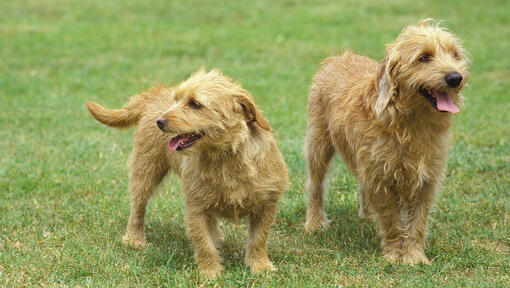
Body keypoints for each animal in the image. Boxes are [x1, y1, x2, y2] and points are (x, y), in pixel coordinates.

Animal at [85, 68, 288, 278]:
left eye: (195, 103)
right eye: (177, 99)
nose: (159, 121)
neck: (226, 156)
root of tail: (156, 94)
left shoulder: (267, 204)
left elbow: (258, 239)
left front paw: (260, 267)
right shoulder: (195, 206)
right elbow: (203, 243)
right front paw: (210, 272)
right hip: (145, 170)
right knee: (137, 207)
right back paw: (134, 238)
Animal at [304, 19, 468, 264]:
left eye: (454, 54)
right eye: (424, 57)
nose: (456, 78)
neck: (411, 124)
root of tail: (338, 57)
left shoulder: (427, 180)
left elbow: (418, 222)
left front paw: (414, 256)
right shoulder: (381, 178)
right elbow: (391, 220)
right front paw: (393, 254)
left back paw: (368, 215)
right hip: (318, 144)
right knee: (315, 184)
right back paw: (315, 222)